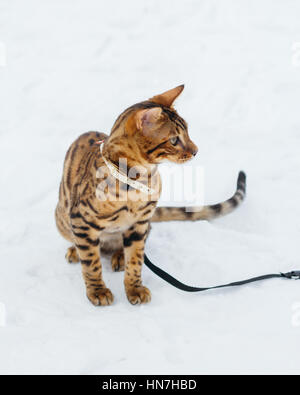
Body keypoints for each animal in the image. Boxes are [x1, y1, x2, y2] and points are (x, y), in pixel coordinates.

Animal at [55, 86, 246, 306]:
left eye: (188, 131)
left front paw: (134, 288)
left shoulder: (139, 224)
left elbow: (136, 260)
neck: (138, 179)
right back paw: (75, 251)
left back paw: (119, 256)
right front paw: (98, 291)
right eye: (174, 140)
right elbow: (92, 263)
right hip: (62, 219)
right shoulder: (82, 221)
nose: (196, 151)